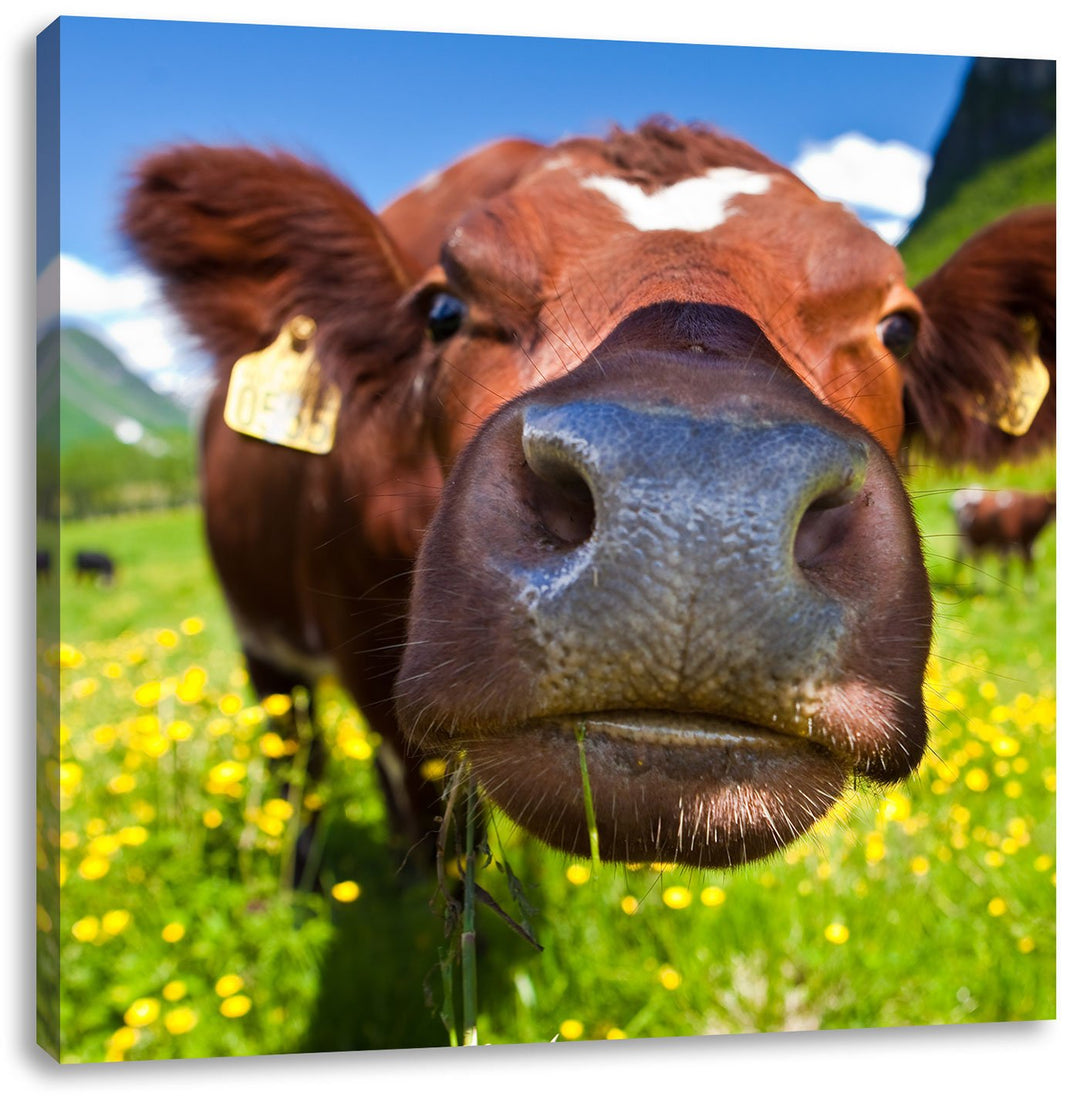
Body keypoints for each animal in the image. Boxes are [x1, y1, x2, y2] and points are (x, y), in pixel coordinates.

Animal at [122, 119, 1055, 871]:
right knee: (296, 762)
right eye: (443, 310)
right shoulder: (371, 674)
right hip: (265, 643)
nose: (695, 503)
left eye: (898, 328)